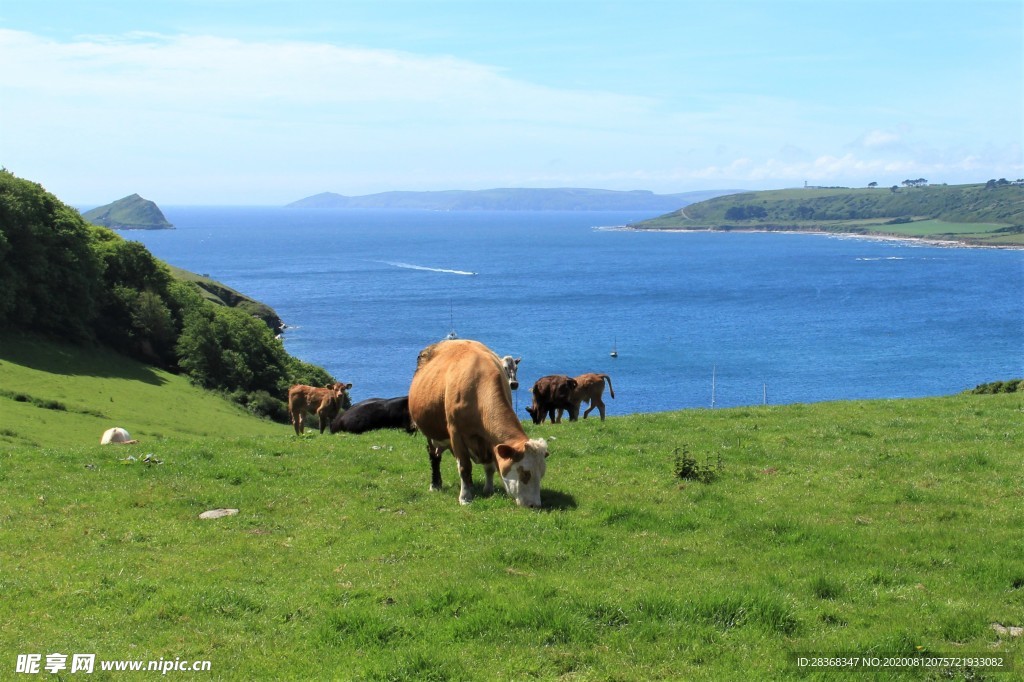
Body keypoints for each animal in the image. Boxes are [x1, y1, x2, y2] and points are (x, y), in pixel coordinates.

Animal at [409, 339, 552, 503]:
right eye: (524, 473)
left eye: (541, 474)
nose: (534, 504)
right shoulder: (456, 434)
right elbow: (464, 466)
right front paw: (465, 497)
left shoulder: (489, 439)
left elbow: (489, 467)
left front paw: (488, 490)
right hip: (431, 433)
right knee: (434, 456)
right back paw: (436, 484)